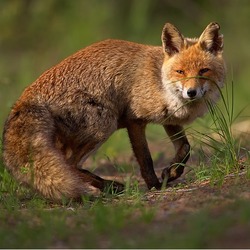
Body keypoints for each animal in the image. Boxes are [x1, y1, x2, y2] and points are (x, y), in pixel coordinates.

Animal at [1, 22, 226, 201]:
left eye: (203, 71)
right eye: (180, 72)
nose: (191, 92)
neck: (160, 81)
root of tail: (25, 97)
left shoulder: (169, 119)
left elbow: (185, 148)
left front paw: (171, 173)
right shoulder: (134, 120)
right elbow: (146, 159)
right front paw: (154, 185)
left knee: (68, 164)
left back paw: (107, 186)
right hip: (104, 125)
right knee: (70, 164)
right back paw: (107, 186)